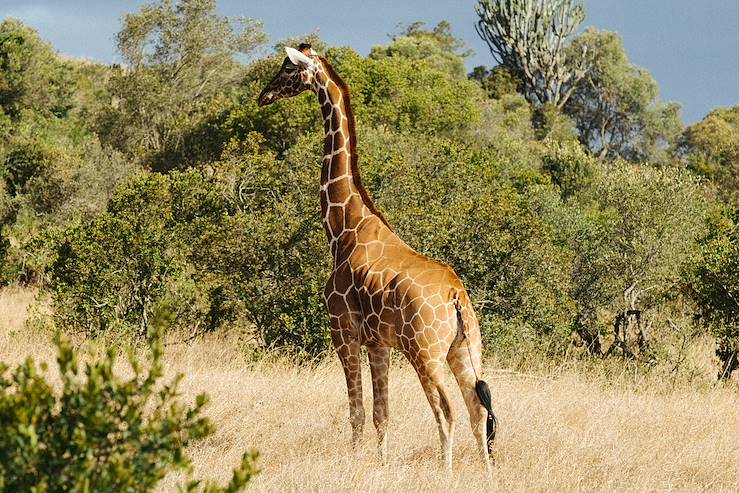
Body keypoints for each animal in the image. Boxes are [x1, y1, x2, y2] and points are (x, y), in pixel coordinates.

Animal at [260, 44, 498, 470]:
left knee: (448, 411)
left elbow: (356, 410)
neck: (344, 227)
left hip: (425, 354)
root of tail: (457, 297)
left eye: (287, 68)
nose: (263, 96)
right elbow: (381, 413)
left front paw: (354, 463)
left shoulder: (343, 331)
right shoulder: (378, 342)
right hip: (465, 351)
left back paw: (446, 472)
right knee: (478, 411)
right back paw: (486, 475)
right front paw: (381, 464)